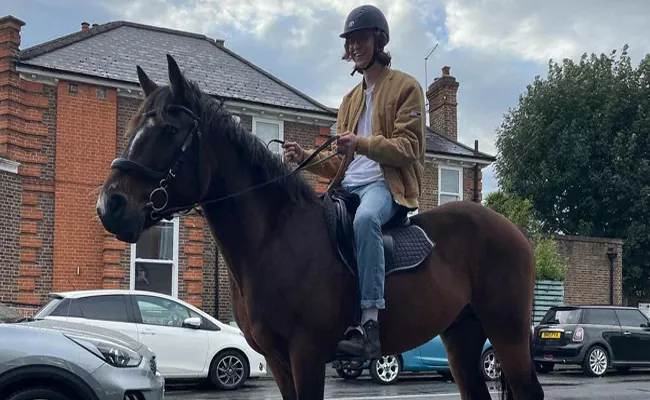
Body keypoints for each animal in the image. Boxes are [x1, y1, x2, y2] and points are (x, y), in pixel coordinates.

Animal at [95, 54, 540, 400]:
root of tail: (513, 232)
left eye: (169, 129)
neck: (274, 238)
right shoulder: (278, 360)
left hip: (507, 332)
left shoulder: (306, 353)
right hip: (461, 335)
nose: (110, 205)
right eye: (133, 125)